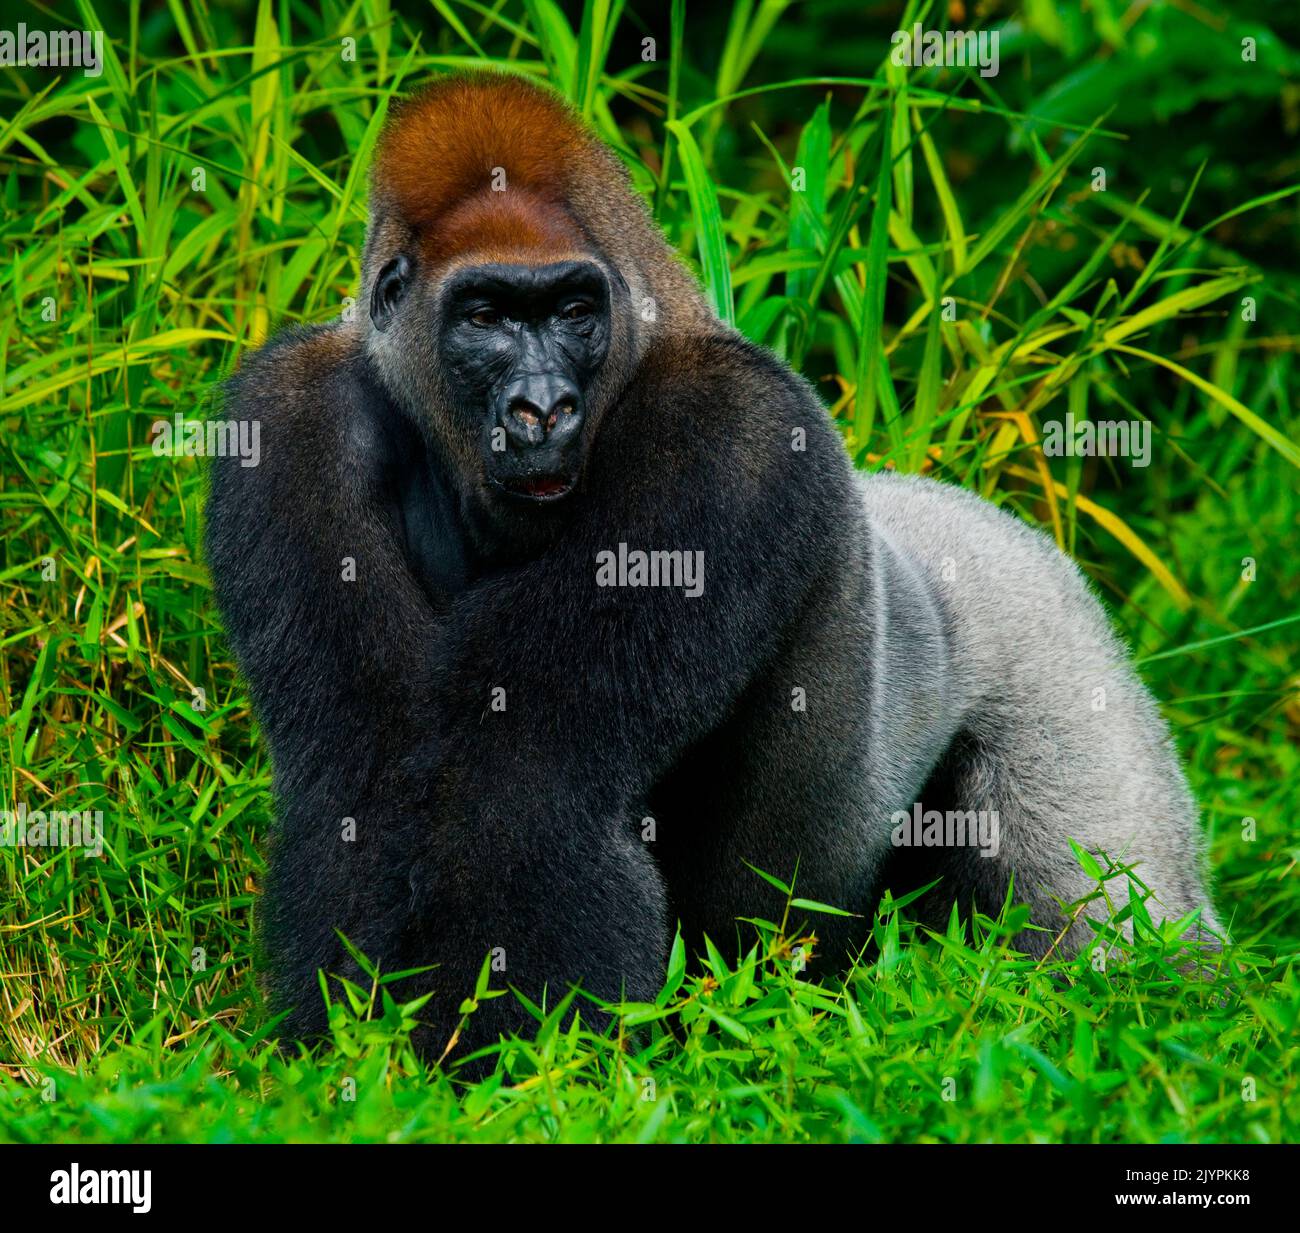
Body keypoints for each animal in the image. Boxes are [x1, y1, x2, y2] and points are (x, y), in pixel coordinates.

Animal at [204, 71, 1221, 1062]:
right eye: (485, 316)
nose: (542, 409)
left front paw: (521, 1064)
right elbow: (360, 772)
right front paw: (351, 1053)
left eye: (573, 312)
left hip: (1061, 653)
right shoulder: (287, 416)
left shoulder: (731, 430)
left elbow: (526, 784)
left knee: (1111, 927)